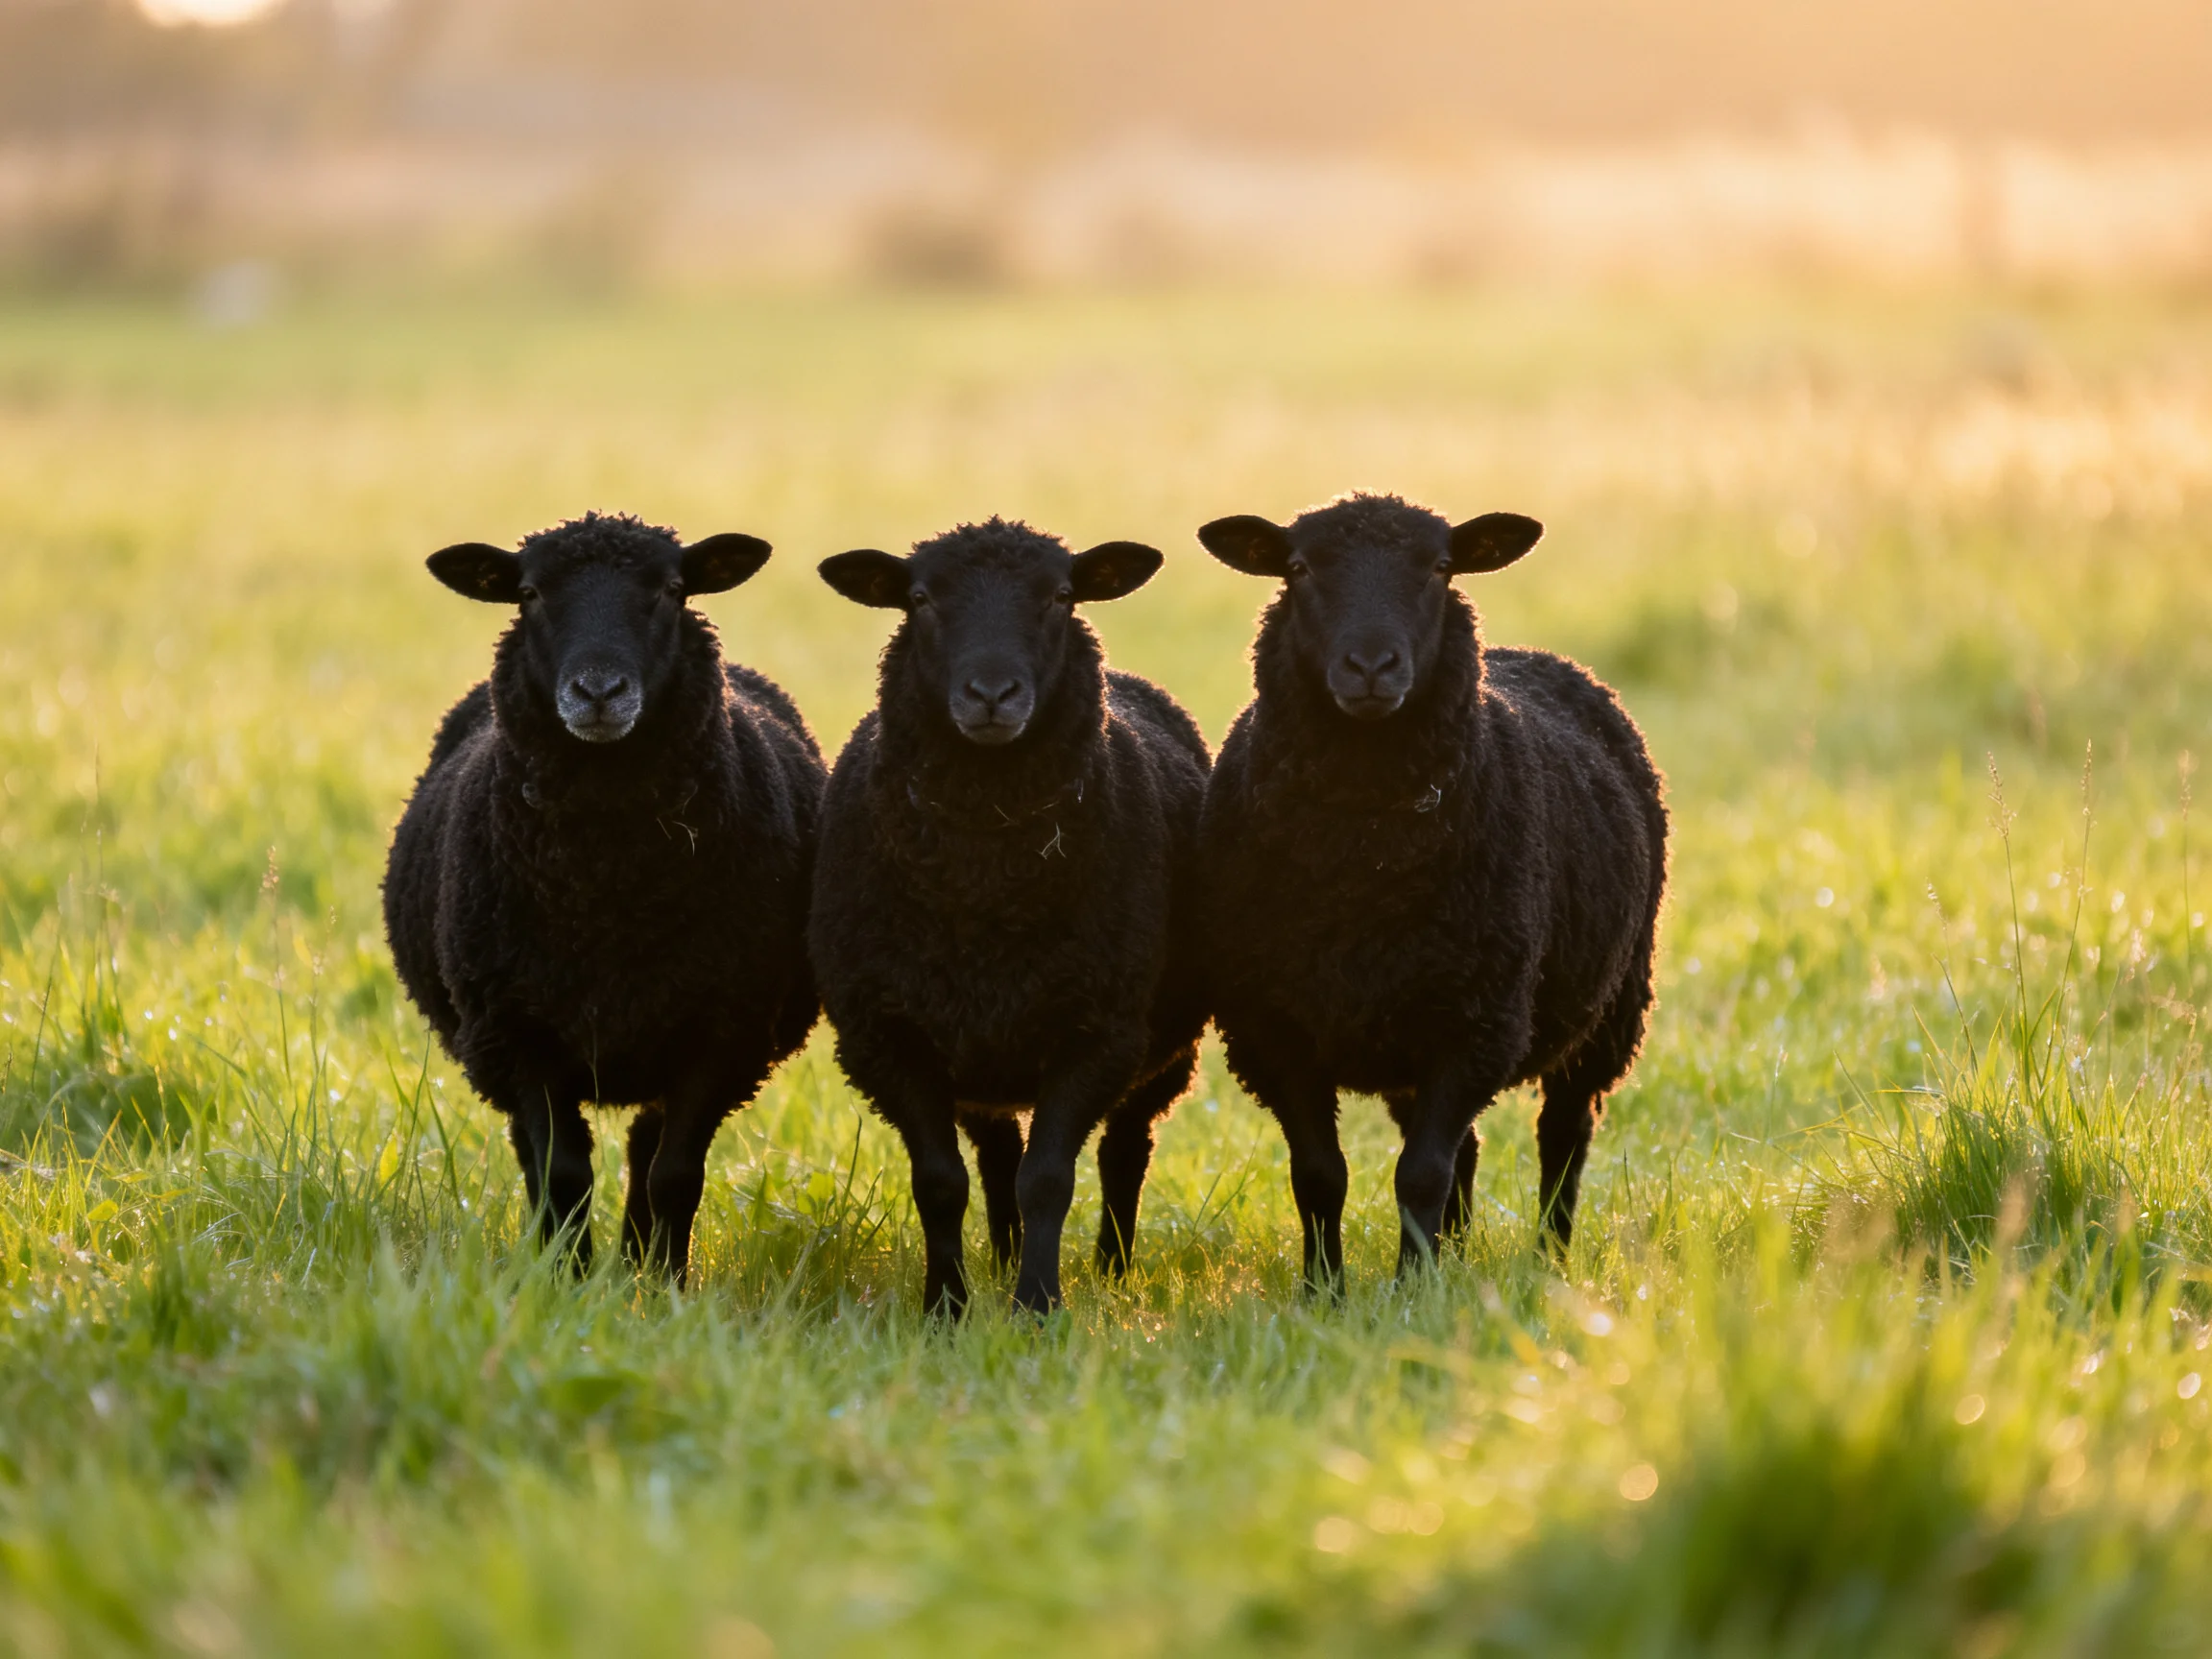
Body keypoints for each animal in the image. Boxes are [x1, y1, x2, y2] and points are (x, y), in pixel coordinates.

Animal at [382, 511, 825, 1285]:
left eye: (672, 590)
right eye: (529, 593)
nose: (597, 691)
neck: (608, 891)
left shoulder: (721, 1029)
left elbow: (675, 1175)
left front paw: (667, 1288)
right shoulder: (519, 1030)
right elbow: (561, 1172)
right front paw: (568, 1283)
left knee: (647, 1148)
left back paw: (641, 1261)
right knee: (537, 1154)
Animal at [810, 517, 1209, 1315]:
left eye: (1059, 596)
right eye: (921, 599)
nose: (992, 693)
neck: (985, 887)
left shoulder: (1098, 1031)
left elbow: (1048, 1179)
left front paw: (1038, 1307)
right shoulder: (888, 1037)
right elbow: (941, 1183)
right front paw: (946, 1308)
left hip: (1160, 1050)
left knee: (1124, 1149)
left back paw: (1111, 1269)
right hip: (977, 1050)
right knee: (996, 1152)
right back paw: (998, 1258)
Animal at [1194, 492, 1667, 1286]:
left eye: (1441, 568)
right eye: (1298, 568)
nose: (1372, 665)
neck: (1361, 858)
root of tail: (1535, 657)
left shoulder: (1473, 1024)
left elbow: (1419, 1174)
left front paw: (1410, 1289)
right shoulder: (1274, 1028)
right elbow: (1319, 1174)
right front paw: (1326, 1290)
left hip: (1610, 1008)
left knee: (1563, 1136)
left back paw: (1546, 1256)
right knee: (1467, 1150)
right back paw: (1460, 1251)